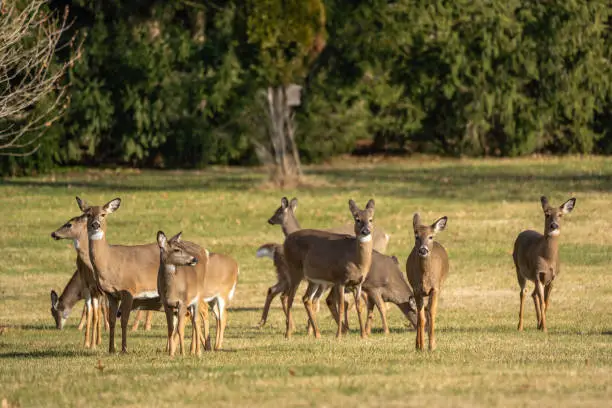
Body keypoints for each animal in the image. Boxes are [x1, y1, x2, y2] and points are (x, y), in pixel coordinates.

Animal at [50, 214, 109, 348]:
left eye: (69, 224)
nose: (53, 233)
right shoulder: (88, 289)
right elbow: (90, 312)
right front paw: (89, 342)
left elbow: (97, 311)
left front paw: (96, 340)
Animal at [76, 198, 163, 354]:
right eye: (88, 214)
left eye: (103, 214)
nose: (96, 224)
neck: (110, 261)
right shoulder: (111, 294)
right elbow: (111, 320)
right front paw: (111, 349)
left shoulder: (129, 289)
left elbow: (124, 320)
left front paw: (124, 349)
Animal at [284, 200, 378, 338]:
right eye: (357, 219)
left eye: (371, 219)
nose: (365, 231)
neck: (355, 260)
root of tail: (286, 240)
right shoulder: (340, 279)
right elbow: (341, 307)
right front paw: (338, 336)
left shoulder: (358, 283)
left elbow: (359, 307)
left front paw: (364, 335)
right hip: (294, 268)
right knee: (290, 299)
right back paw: (288, 334)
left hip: (314, 279)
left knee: (306, 299)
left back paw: (317, 334)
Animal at [406, 214, 450, 350]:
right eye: (416, 236)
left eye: (430, 236)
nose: (423, 250)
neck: (425, 277)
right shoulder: (416, 289)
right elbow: (421, 318)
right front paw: (421, 346)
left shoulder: (435, 288)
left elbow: (432, 314)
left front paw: (432, 346)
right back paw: (417, 344)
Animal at [512, 196, 576, 334]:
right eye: (547, 214)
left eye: (560, 215)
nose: (554, 225)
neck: (548, 259)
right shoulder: (538, 273)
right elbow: (542, 302)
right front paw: (545, 328)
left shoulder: (552, 278)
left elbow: (546, 302)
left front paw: (542, 326)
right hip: (519, 269)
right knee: (523, 292)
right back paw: (520, 327)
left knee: (533, 294)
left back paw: (537, 324)